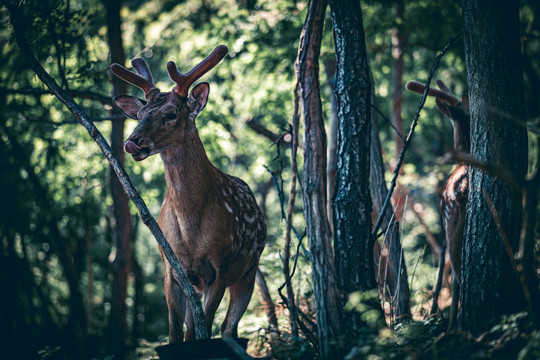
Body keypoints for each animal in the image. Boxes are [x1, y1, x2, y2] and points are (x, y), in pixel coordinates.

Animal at [110, 45, 268, 340]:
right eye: (140, 115)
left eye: (171, 113)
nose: (132, 143)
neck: (191, 228)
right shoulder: (172, 269)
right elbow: (176, 333)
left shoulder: (221, 264)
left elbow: (205, 328)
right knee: (198, 328)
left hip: (249, 271)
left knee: (229, 328)